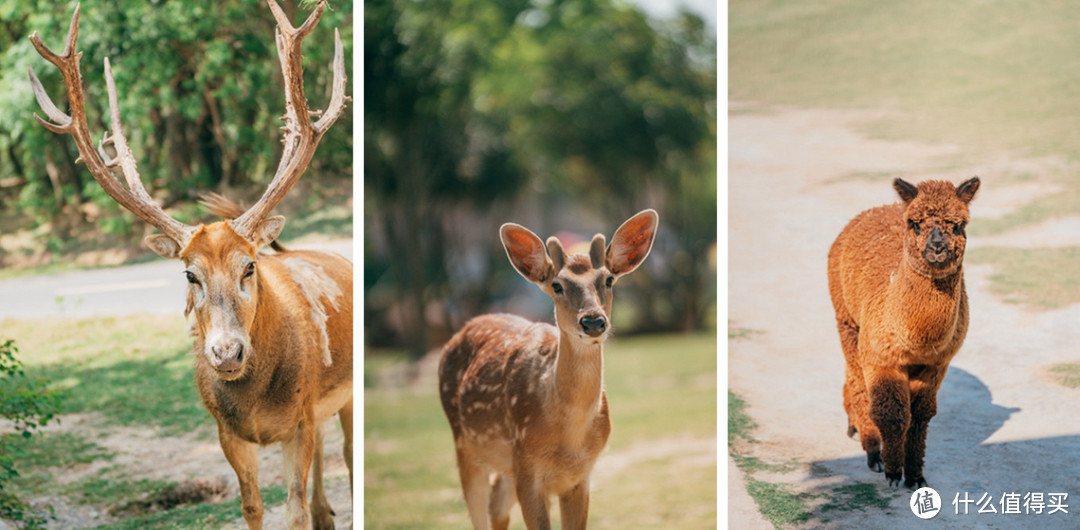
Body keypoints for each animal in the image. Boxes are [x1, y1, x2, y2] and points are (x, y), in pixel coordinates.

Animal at [29, 2, 352, 528]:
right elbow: (252, 507)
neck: (256, 400)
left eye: (249, 266)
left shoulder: (300, 421)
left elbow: (294, 511)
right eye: (189, 274)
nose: (226, 353)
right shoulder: (227, 432)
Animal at [438, 209, 656, 528]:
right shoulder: (527, 467)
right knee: (479, 509)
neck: (570, 439)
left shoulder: (580, 475)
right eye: (557, 285)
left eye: (609, 280)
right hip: (465, 444)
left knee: (496, 505)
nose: (593, 321)